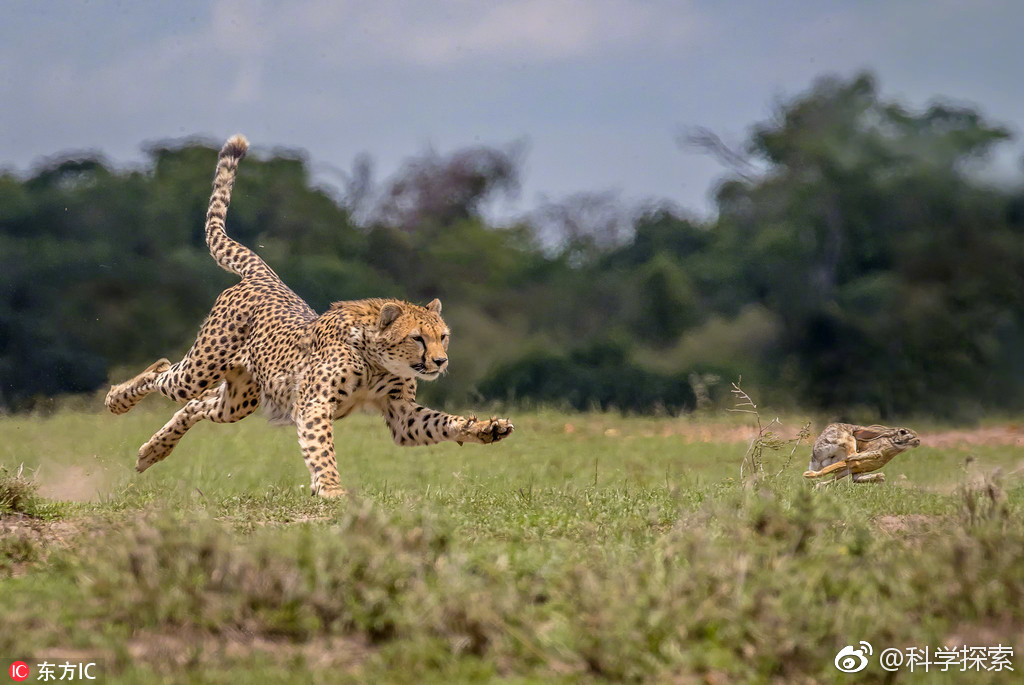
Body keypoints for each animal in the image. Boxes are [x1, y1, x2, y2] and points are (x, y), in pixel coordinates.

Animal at [105, 135, 512, 497]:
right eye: (417, 338)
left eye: (443, 337)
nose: (440, 361)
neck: (376, 359)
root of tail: (266, 277)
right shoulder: (313, 403)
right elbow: (321, 448)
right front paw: (330, 487)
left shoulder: (402, 415)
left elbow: (441, 422)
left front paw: (484, 428)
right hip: (202, 368)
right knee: (163, 373)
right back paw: (117, 402)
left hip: (240, 399)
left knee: (197, 405)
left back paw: (153, 451)